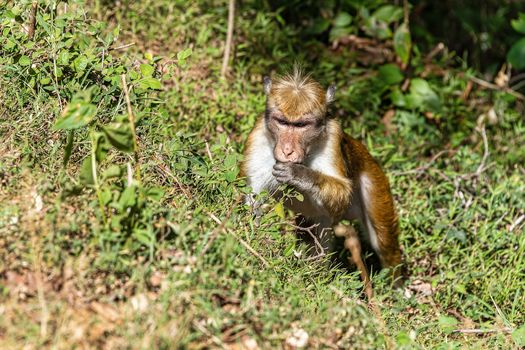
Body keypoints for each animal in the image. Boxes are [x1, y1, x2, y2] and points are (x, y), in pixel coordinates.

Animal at [239, 67, 404, 294]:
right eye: (282, 122)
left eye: (302, 125)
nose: (287, 150)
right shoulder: (257, 138)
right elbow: (252, 199)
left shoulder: (333, 139)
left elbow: (343, 192)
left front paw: (298, 174)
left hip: (375, 181)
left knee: (382, 237)